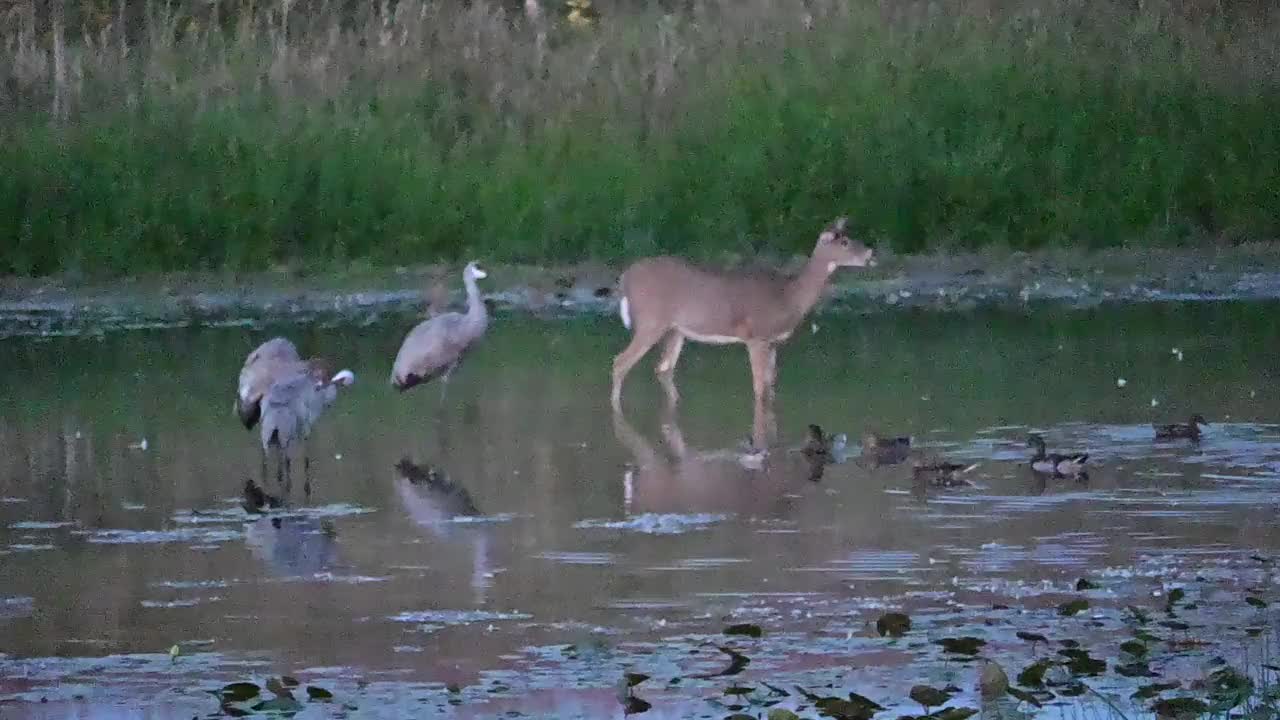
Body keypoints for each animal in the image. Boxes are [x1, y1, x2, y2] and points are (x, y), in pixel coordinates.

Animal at [611, 215, 875, 412]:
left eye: (851, 237)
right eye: (845, 243)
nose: (870, 254)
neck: (789, 296)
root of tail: (625, 278)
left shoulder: (773, 342)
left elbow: (769, 386)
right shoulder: (756, 335)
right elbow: (759, 388)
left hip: (675, 330)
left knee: (663, 369)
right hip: (651, 321)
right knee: (620, 362)